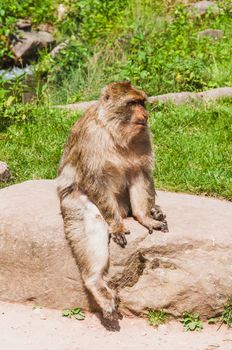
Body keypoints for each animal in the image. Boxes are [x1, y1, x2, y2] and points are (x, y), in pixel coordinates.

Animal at [57, 81, 168, 320]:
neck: (113, 130)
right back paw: (96, 283)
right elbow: (95, 182)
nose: (145, 114)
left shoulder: (143, 135)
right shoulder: (92, 136)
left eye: (142, 102)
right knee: (91, 218)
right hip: (72, 202)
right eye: (132, 103)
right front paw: (117, 226)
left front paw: (145, 217)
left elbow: (140, 173)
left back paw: (154, 210)